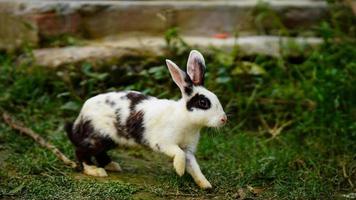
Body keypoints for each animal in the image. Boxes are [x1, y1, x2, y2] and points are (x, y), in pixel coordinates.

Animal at [66, 50, 228, 189]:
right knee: (81, 151)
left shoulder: (188, 150)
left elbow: (194, 167)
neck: (185, 118)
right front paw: (179, 170)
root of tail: (81, 114)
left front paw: (205, 185)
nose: (224, 119)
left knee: (98, 153)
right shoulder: (164, 143)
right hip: (98, 137)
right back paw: (95, 170)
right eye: (203, 103)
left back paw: (112, 166)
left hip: (109, 140)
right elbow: (178, 154)